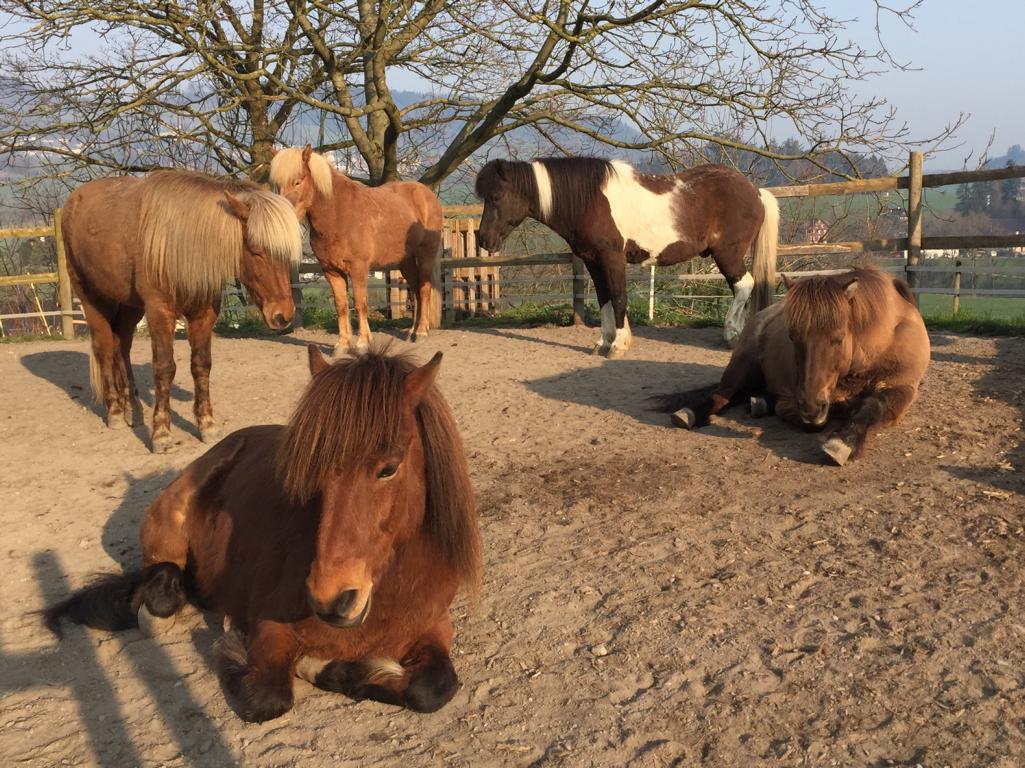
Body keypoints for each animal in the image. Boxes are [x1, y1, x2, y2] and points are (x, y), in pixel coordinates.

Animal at [44, 344, 481, 723]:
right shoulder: (270, 630)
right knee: (160, 578)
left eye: (389, 468)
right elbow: (268, 697)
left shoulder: (434, 626)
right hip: (165, 529)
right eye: (313, 471)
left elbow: (433, 688)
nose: (330, 599)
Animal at [61, 170, 302, 452]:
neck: (179, 245)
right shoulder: (159, 314)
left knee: (122, 347)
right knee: (105, 349)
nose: (282, 315)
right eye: (256, 251)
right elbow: (164, 368)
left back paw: (133, 409)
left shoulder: (203, 315)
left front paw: (207, 425)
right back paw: (116, 412)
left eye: (287, 254)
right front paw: (161, 433)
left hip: (130, 306)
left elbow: (201, 366)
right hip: (93, 299)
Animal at [269, 145, 443, 355]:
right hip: (405, 262)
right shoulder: (331, 271)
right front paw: (343, 344)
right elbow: (341, 306)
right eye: (276, 185)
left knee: (424, 289)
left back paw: (422, 332)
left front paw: (362, 343)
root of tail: (426, 194)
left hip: (425, 255)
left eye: (298, 181)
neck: (338, 215)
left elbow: (360, 304)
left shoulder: (358, 268)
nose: (284, 218)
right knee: (416, 291)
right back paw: (412, 331)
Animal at [475, 157, 779, 356]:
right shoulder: (592, 261)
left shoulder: (612, 258)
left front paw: (619, 344)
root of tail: (755, 191)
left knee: (744, 285)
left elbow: (619, 296)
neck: (590, 200)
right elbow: (604, 299)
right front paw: (603, 342)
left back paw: (731, 334)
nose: (484, 239)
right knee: (742, 287)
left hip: (728, 253)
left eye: (497, 196)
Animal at [655, 267, 930, 466]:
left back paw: (759, 402)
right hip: (743, 364)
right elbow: (808, 417)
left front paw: (844, 442)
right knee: (722, 394)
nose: (810, 406)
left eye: (839, 337)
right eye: (793, 336)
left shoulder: (901, 388)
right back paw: (689, 413)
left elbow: (874, 406)